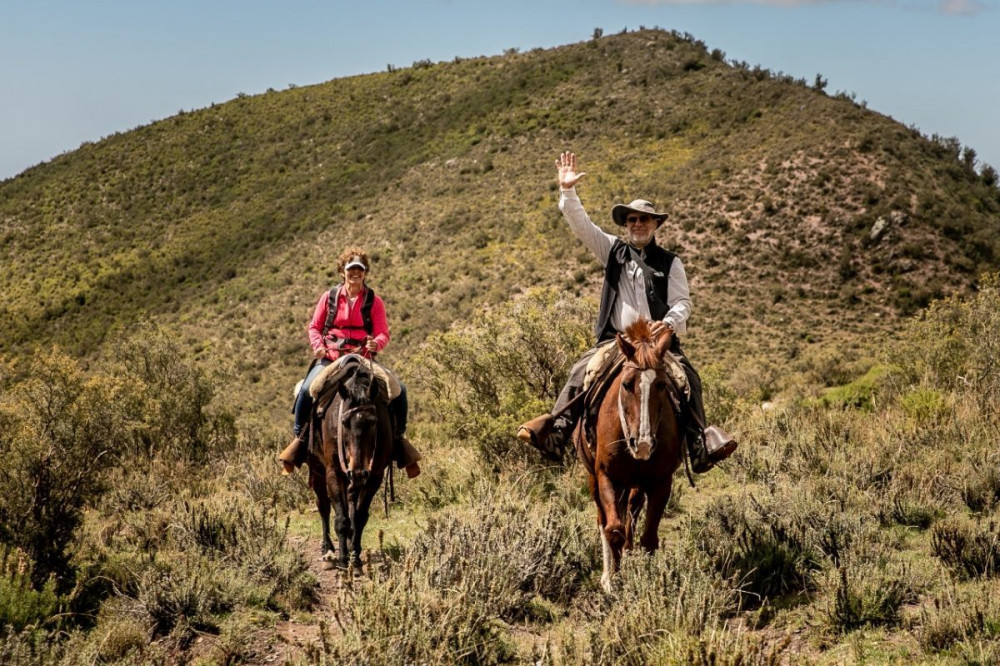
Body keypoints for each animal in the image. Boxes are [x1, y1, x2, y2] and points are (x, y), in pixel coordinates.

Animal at [306, 356, 392, 568]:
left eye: (373, 422)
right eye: (344, 422)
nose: (358, 472)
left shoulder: (374, 475)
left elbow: (359, 517)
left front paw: (356, 558)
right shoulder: (333, 472)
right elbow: (342, 518)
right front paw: (344, 561)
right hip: (318, 470)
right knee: (323, 506)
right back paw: (328, 549)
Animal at [576, 320, 684, 588]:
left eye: (662, 385)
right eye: (626, 384)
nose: (643, 443)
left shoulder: (661, 482)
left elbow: (649, 539)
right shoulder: (606, 476)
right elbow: (613, 528)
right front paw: (613, 579)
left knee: (632, 511)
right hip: (594, 478)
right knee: (603, 519)